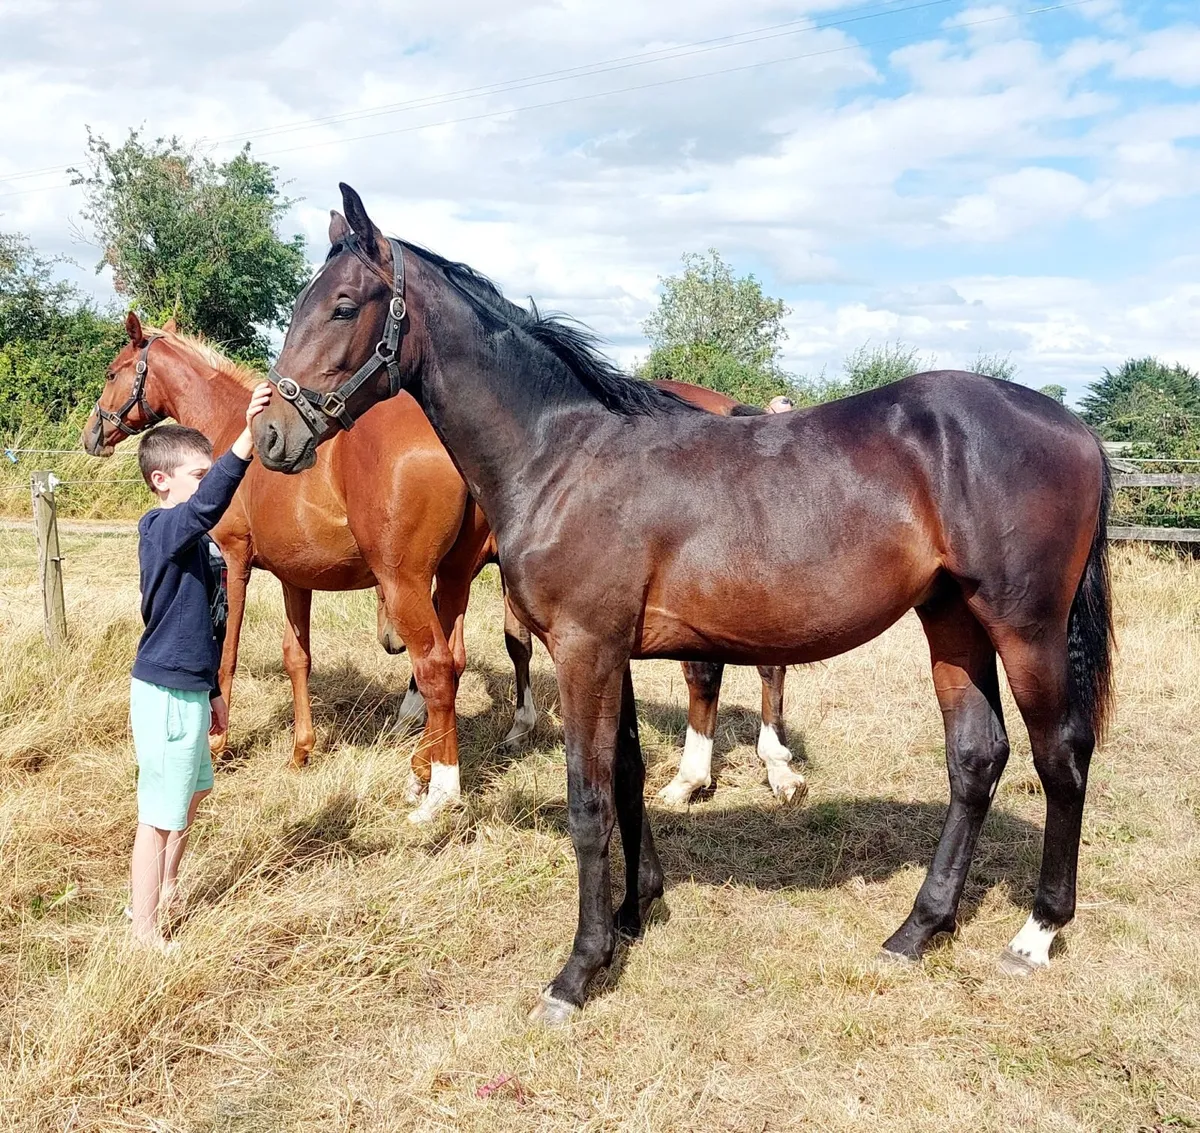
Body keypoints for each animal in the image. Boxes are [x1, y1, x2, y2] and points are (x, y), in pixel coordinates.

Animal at [84, 314, 803, 815]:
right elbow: (299, 657)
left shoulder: (232, 559)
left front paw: (221, 743)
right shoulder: (297, 578)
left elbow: (229, 654)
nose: (93, 432)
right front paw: (302, 749)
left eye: (116, 370)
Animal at [254, 185, 1113, 1024]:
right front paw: (633, 914)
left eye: (344, 304)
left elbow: (589, 799)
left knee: (1060, 756)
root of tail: (1074, 426)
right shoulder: (611, 651)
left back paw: (1037, 931)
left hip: (1025, 627)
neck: (561, 455)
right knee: (976, 756)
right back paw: (917, 928)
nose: (270, 436)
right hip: (953, 620)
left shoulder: (585, 649)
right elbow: (629, 775)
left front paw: (577, 970)